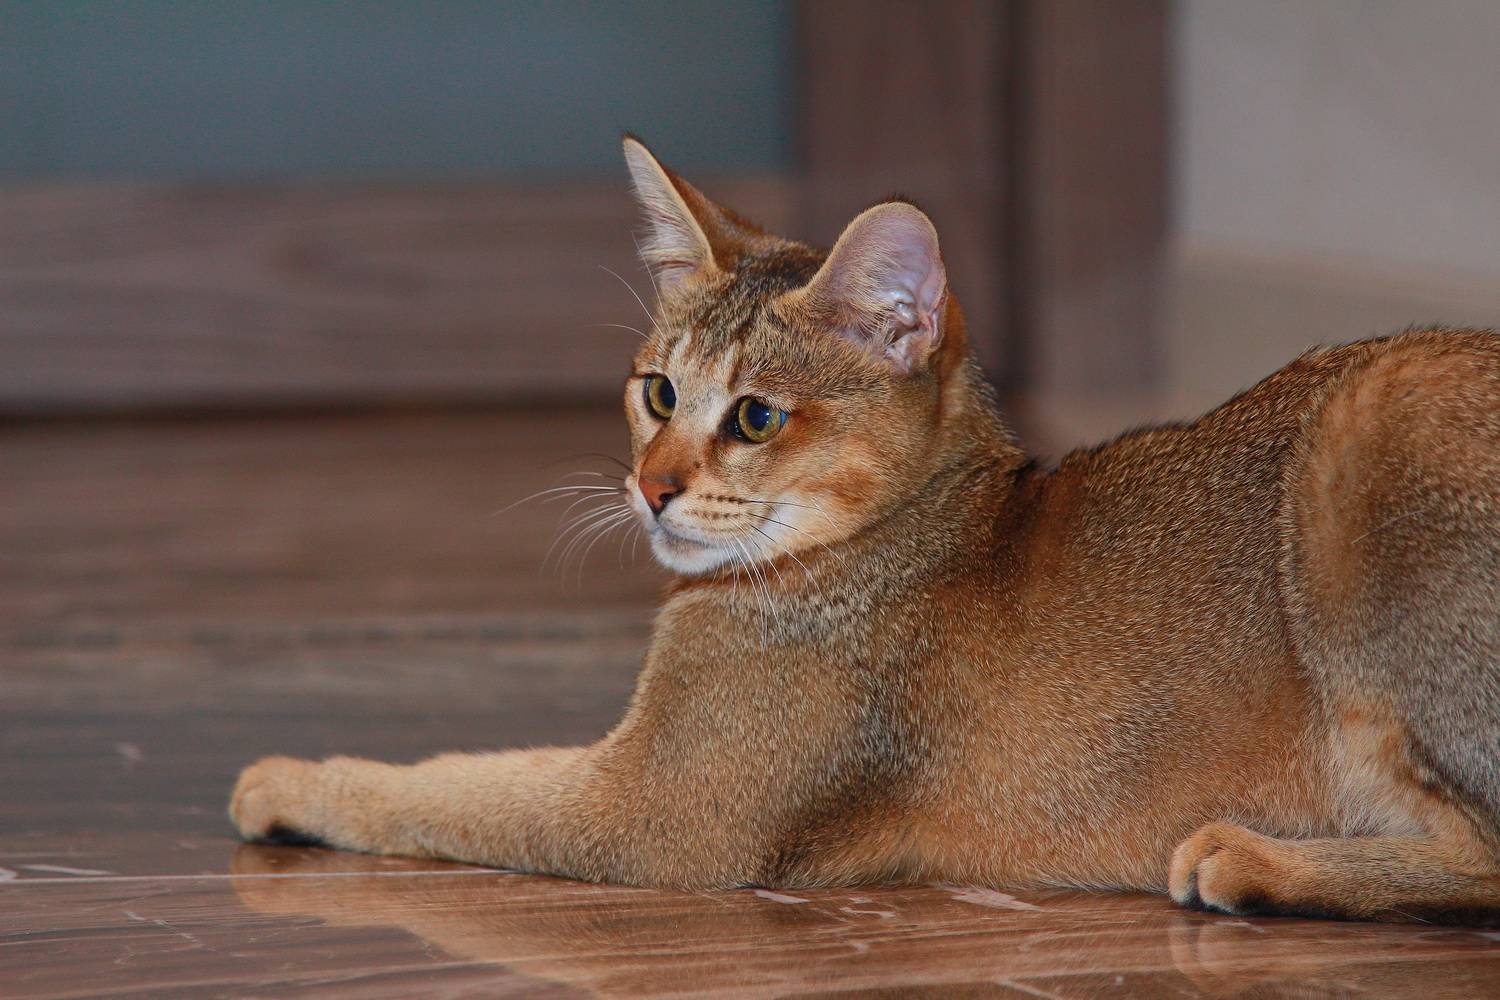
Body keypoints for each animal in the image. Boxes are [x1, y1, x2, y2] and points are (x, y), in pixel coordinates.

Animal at [228, 137, 1500, 929]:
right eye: (655, 390)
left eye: (753, 416)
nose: (651, 486)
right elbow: (486, 763)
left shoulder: (657, 812)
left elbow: (455, 786)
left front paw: (293, 777)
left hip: (1372, 422)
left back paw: (1253, 859)